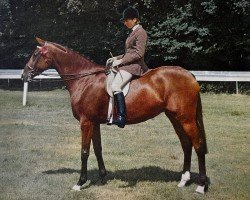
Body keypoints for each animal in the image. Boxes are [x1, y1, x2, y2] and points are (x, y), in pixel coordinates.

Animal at [21, 37, 209, 194]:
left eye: (36, 54)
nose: (24, 75)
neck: (84, 80)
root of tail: (190, 75)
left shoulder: (86, 122)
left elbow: (84, 152)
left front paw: (80, 183)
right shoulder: (94, 123)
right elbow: (97, 149)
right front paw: (102, 177)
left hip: (186, 119)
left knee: (198, 146)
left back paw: (201, 186)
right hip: (175, 118)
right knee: (186, 145)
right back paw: (183, 181)